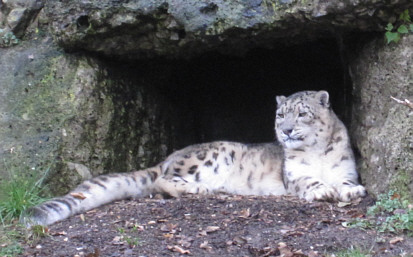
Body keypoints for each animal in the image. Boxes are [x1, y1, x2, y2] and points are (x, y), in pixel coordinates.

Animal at [21, 90, 364, 226]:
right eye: (280, 115)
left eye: (302, 114)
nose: (287, 130)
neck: (317, 153)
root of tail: (170, 155)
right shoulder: (293, 175)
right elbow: (308, 181)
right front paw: (322, 190)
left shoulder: (346, 168)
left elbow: (347, 181)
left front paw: (352, 191)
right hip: (207, 156)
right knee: (162, 180)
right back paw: (200, 188)